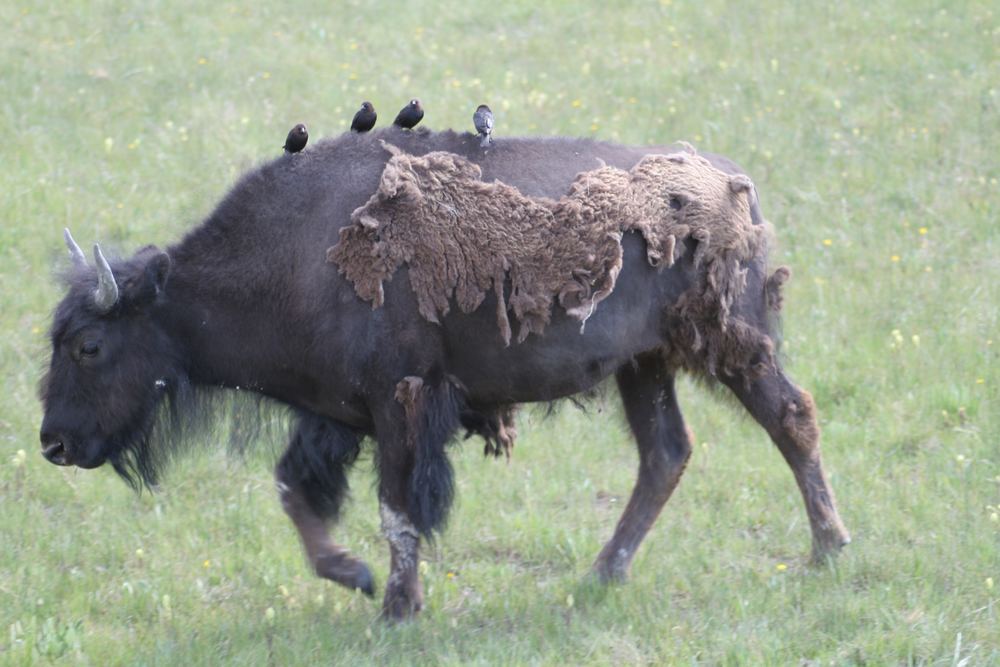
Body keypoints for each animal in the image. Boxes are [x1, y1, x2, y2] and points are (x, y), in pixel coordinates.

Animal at [41, 129, 852, 620]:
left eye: (87, 345)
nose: (52, 443)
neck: (295, 254)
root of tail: (733, 181)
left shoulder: (400, 407)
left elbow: (398, 511)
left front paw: (396, 608)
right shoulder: (336, 416)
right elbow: (297, 493)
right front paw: (356, 576)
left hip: (731, 344)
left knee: (790, 418)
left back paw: (828, 550)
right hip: (643, 366)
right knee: (666, 453)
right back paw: (602, 574)